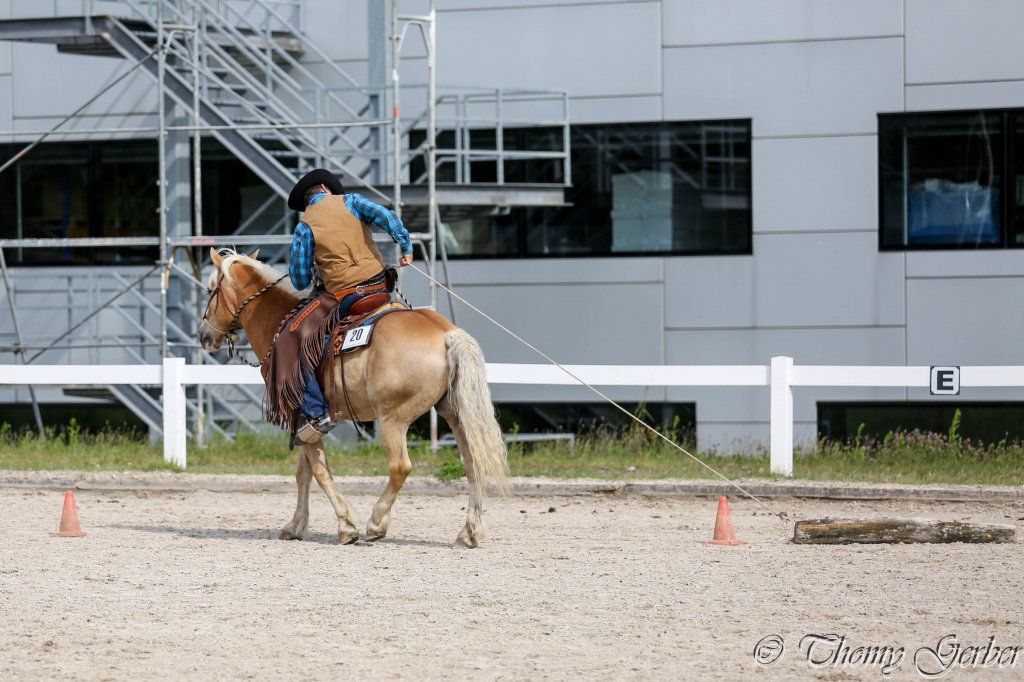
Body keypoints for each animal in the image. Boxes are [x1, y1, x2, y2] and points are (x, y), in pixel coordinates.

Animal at [196, 248, 508, 547]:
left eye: (211, 289)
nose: (203, 335)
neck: (277, 321)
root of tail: (447, 334)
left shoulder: (303, 418)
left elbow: (319, 471)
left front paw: (346, 526)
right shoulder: (304, 425)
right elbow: (304, 473)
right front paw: (296, 526)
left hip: (393, 419)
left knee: (400, 467)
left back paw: (377, 523)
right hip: (455, 416)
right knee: (473, 464)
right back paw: (469, 532)